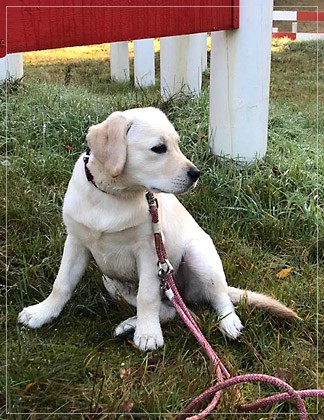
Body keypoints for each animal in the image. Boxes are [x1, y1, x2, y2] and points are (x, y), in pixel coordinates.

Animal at [18, 107, 298, 352]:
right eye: (159, 148)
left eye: (177, 144)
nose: (196, 174)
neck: (114, 194)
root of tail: (184, 293)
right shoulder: (76, 242)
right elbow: (62, 284)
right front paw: (42, 313)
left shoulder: (149, 251)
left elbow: (147, 297)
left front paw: (149, 334)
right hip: (114, 284)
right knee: (173, 311)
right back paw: (128, 325)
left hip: (199, 256)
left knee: (217, 298)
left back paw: (228, 322)